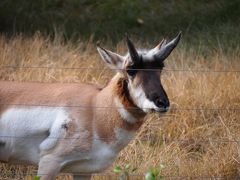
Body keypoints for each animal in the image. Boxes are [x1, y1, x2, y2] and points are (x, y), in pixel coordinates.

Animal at [0, 32, 181, 180]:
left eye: (160, 69)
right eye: (131, 70)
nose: (162, 103)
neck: (96, 107)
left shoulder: (83, 171)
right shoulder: (49, 162)